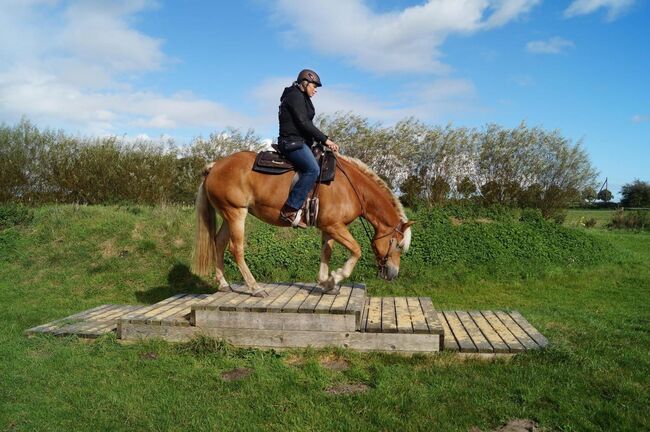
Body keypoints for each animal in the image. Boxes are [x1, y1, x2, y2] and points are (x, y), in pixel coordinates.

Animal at [191, 149, 410, 296]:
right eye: (398, 245)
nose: (393, 274)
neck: (350, 188)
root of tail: (214, 166)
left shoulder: (330, 227)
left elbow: (326, 252)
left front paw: (326, 283)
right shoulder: (335, 227)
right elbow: (356, 251)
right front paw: (336, 276)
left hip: (229, 215)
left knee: (219, 243)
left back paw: (224, 284)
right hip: (236, 214)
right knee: (236, 249)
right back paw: (255, 288)